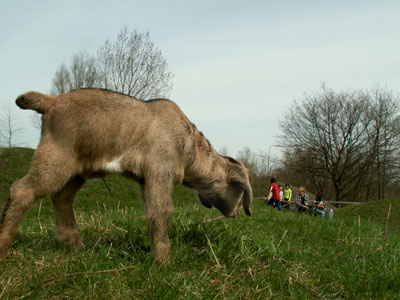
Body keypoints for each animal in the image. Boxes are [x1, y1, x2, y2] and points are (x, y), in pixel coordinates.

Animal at [0, 89, 252, 262]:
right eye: (240, 193)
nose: (239, 212)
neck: (190, 147)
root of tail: (51, 101)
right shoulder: (160, 170)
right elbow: (162, 212)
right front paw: (164, 263)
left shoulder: (145, 180)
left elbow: (153, 213)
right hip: (56, 157)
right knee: (22, 190)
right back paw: (4, 247)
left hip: (77, 169)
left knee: (62, 198)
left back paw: (75, 247)